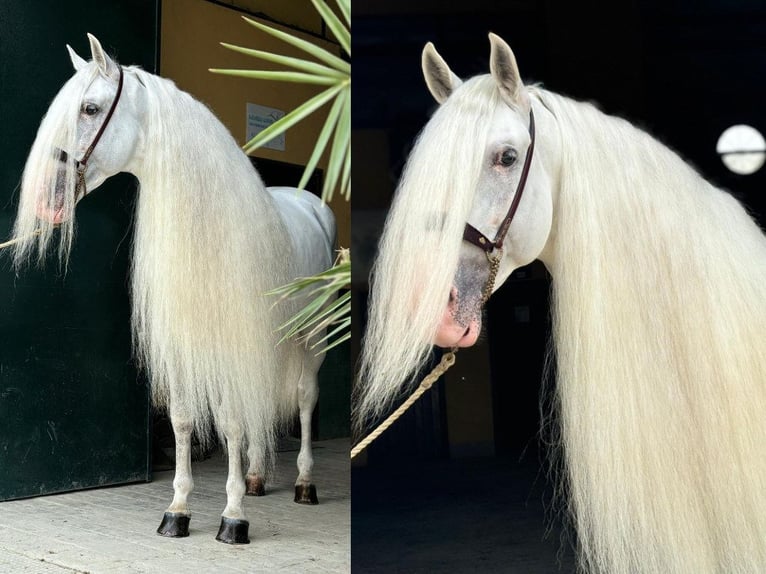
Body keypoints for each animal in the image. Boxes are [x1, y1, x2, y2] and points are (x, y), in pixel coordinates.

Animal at [11, 33, 336, 548]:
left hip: (313, 340)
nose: (48, 199)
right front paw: (178, 511)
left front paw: (233, 518)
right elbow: (183, 420)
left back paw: (304, 484)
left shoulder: (229, 347)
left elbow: (231, 422)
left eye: (89, 108)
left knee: (304, 400)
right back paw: (257, 477)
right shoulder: (183, 344)